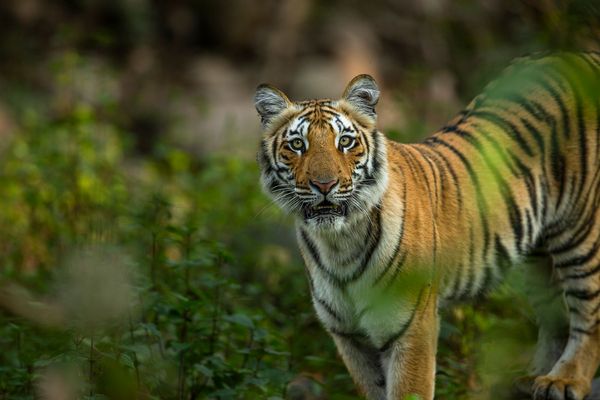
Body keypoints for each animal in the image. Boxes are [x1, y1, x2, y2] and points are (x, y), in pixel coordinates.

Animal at [252, 51, 600, 398]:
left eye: (346, 142)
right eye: (298, 145)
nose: (325, 184)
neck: (339, 243)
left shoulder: (412, 329)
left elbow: (409, 390)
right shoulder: (349, 337)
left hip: (582, 233)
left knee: (588, 316)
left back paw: (564, 381)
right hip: (539, 258)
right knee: (555, 315)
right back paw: (534, 377)